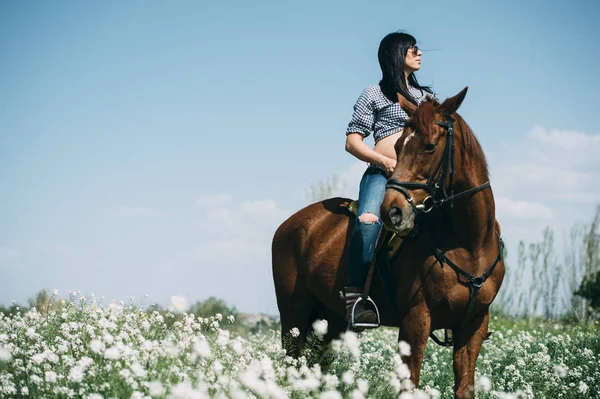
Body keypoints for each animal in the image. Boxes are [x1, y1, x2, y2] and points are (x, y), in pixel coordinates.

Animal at [274, 88, 506, 399]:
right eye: (397, 147)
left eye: (430, 146)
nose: (392, 211)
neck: (469, 244)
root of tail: (290, 224)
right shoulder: (416, 319)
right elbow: (409, 384)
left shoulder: (474, 325)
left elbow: (464, 388)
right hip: (293, 313)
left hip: (332, 320)